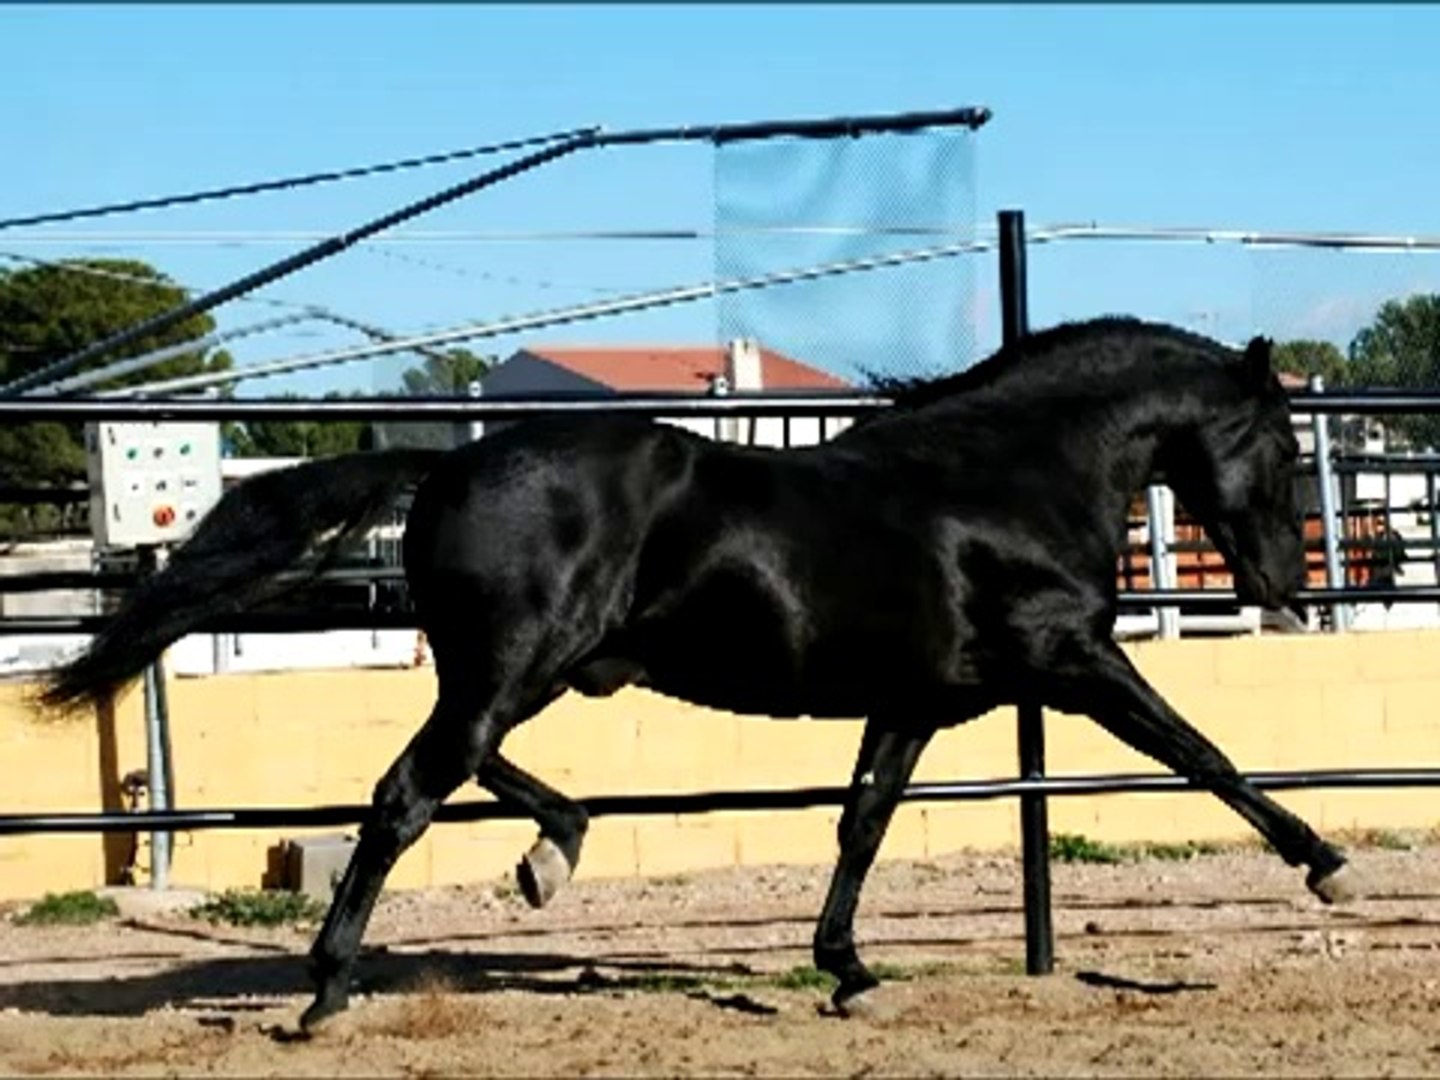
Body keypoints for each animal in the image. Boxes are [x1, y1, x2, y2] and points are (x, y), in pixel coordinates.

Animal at [42, 316, 1359, 1030]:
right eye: (1278, 445)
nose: (1289, 587)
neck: (1005, 476)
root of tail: (446, 467)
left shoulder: (916, 701)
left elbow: (863, 822)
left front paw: (847, 972)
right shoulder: (1073, 658)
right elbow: (1201, 753)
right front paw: (1328, 866)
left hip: (530, 667)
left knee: (464, 769)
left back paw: (552, 855)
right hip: (516, 665)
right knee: (407, 792)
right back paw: (326, 989)